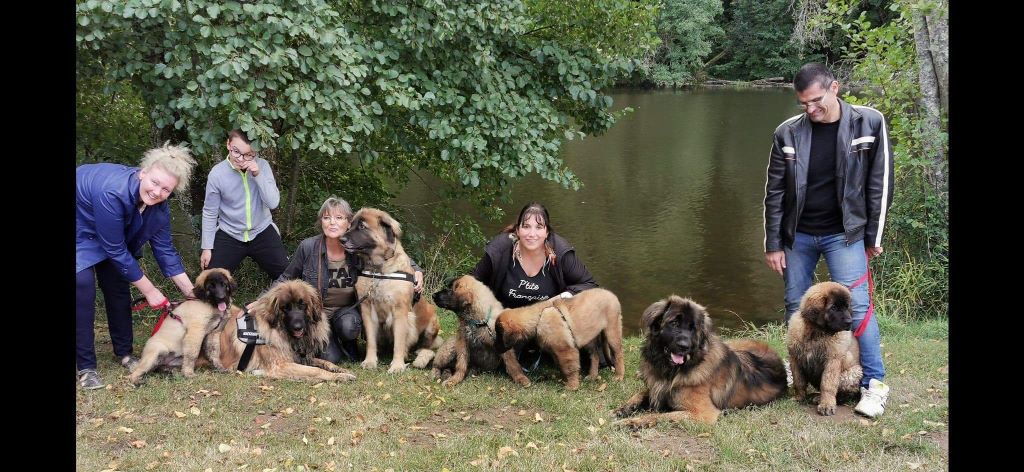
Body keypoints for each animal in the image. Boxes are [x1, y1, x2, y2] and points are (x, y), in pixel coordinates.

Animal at [203, 278, 356, 380]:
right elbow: (315, 371)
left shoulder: (298, 356)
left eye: (302, 305)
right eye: (285, 308)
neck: (281, 331)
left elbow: (324, 362)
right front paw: (339, 376)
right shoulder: (281, 365)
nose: (297, 327)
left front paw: (339, 369)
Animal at [342, 207, 442, 372]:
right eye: (350, 225)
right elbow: (371, 341)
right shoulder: (367, 310)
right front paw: (370, 361)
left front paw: (397, 365)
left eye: (362, 226)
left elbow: (399, 342)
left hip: (432, 321)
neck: (378, 271)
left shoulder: (400, 311)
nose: (341, 239)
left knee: (426, 347)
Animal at [432, 274, 622, 389]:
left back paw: (618, 376)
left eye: (450, 290)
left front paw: (570, 385)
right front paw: (455, 379)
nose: (433, 295)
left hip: (611, 332)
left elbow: (515, 365)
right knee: (438, 364)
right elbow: (461, 364)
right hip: (449, 350)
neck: (479, 320)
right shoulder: (462, 342)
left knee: (617, 354)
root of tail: (610, 294)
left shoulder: (564, 349)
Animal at [610, 294, 786, 425]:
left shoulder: (703, 413)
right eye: (674, 323)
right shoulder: (656, 388)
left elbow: (661, 416)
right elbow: (640, 394)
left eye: (693, 328)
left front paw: (632, 422)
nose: (684, 346)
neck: (671, 371)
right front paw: (622, 409)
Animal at [782, 280, 864, 413]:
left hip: (852, 372)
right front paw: (799, 397)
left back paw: (822, 398)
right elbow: (798, 381)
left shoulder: (832, 360)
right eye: (834, 307)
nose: (849, 322)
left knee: (845, 394)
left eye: (847, 307)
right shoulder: (795, 358)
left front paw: (827, 405)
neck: (816, 332)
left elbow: (827, 384)